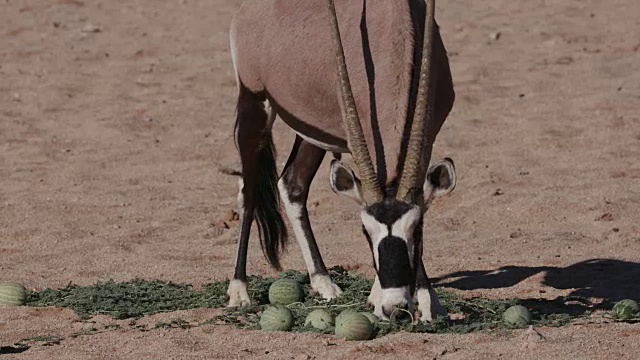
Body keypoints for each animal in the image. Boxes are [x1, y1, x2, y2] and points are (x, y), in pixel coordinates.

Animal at [225, 0, 456, 322]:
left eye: (417, 230)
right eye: (364, 232)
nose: (394, 308)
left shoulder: (429, 135)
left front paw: (427, 301)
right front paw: (382, 299)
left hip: (312, 130)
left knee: (292, 184)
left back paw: (323, 282)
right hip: (254, 103)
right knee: (248, 193)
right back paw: (239, 291)